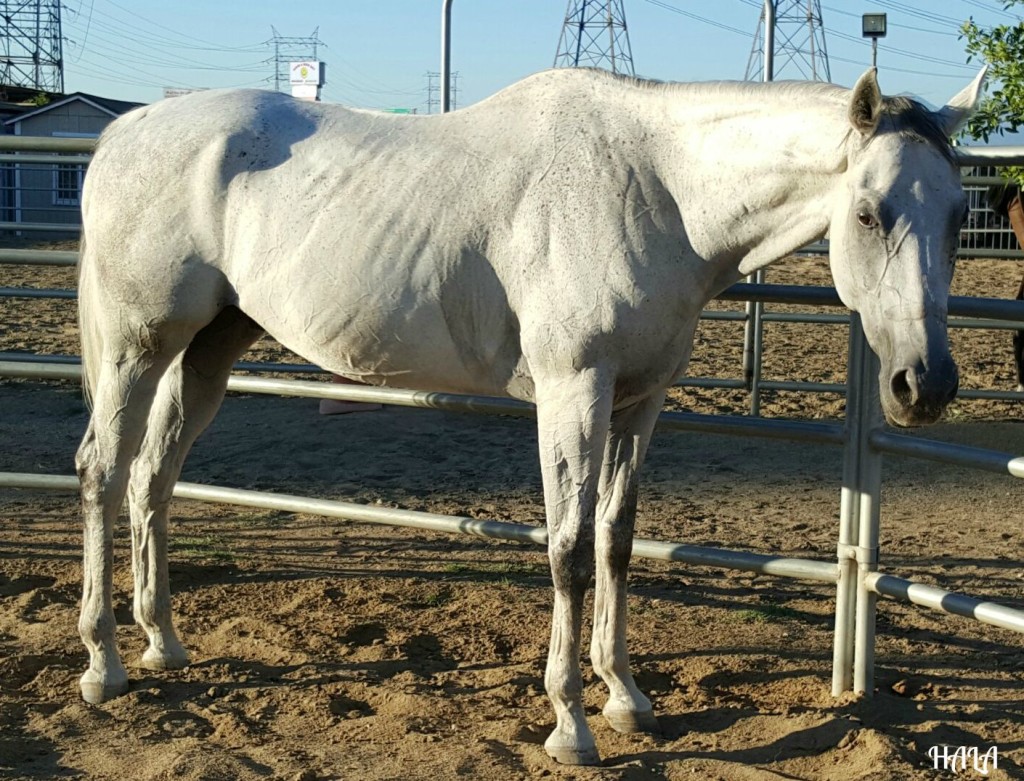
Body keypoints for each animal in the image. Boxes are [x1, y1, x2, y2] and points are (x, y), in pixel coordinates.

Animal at [74, 65, 983, 765]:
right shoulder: (571, 391)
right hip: (137, 346)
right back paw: (103, 664)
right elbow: (570, 551)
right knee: (102, 472)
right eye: (869, 212)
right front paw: (571, 724)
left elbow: (617, 540)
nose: (926, 385)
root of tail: (124, 135)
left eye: (956, 214)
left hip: (209, 347)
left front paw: (625, 695)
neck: (654, 188)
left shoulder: (639, 401)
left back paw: (163, 643)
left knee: (153, 478)